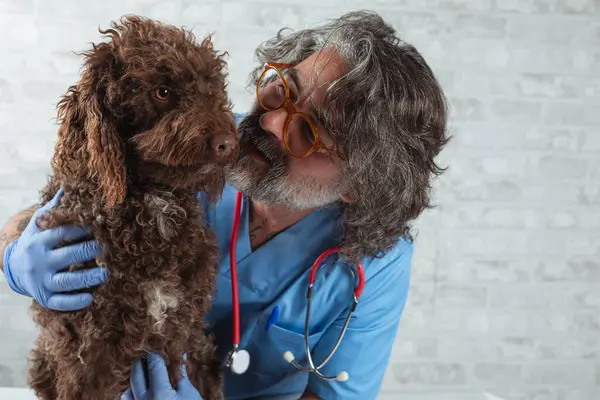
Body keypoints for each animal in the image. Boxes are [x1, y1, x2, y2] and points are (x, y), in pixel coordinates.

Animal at [26, 14, 237, 400]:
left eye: (213, 87)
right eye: (162, 91)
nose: (228, 144)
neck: (149, 204)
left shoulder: (178, 333)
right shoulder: (90, 350)